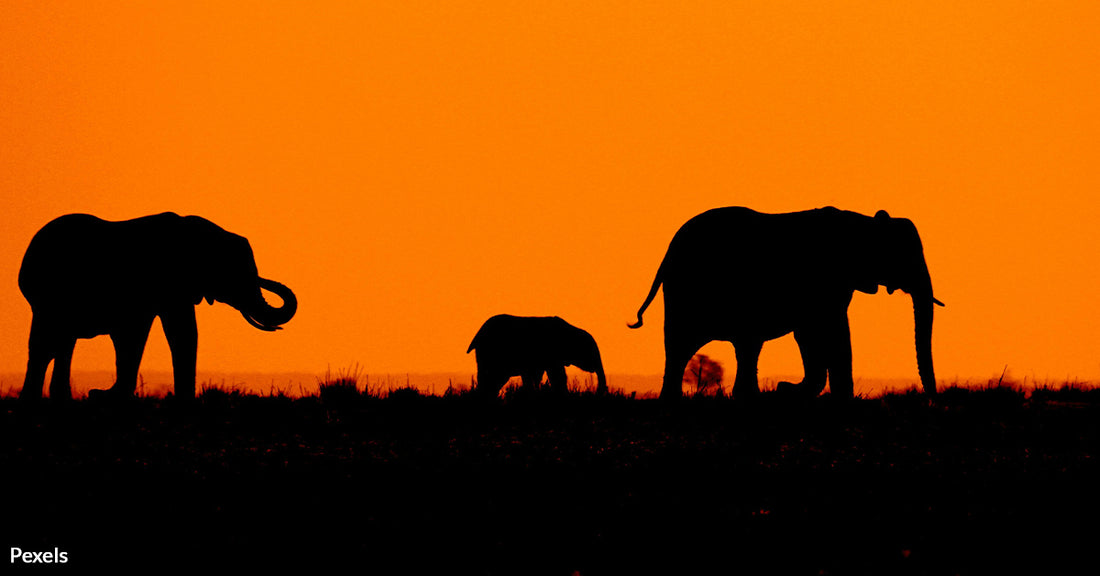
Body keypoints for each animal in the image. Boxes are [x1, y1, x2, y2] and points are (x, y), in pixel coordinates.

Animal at [18, 212, 297, 401]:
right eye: (236, 273)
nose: (264, 279)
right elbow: (147, 334)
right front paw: (106, 395)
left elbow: (177, 332)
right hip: (46, 297)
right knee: (46, 344)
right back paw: (34, 400)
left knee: (61, 343)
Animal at [629, 206, 943, 400]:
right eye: (905, 256)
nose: (931, 400)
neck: (865, 222)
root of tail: (667, 254)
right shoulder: (826, 280)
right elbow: (831, 332)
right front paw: (794, 391)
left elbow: (810, 335)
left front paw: (788, 390)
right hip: (686, 292)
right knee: (684, 344)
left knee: (741, 346)